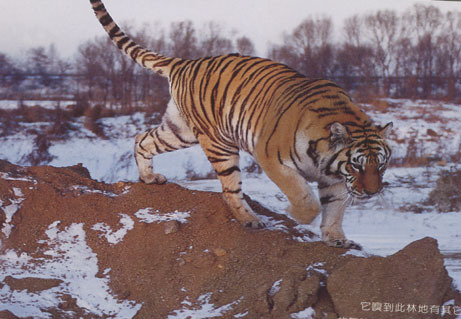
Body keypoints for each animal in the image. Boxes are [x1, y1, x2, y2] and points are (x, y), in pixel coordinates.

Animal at [90, 0, 392, 250]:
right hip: (218, 143)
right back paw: (251, 220)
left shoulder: (335, 179)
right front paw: (293, 214)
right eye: (356, 165)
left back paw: (149, 178)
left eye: (381, 165)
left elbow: (334, 209)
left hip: (180, 131)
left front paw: (337, 238)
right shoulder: (271, 158)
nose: (373, 192)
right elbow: (306, 199)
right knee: (230, 189)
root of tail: (185, 62)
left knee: (143, 138)